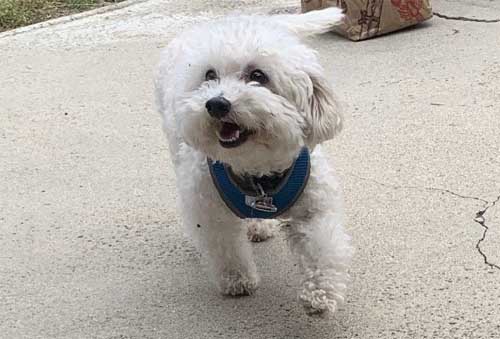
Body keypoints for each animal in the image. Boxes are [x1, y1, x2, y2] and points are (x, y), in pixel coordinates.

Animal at [154, 7, 354, 316]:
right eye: (209, 74)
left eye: (258, 75)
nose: (216, 104)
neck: (257, 170)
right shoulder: (209, 211)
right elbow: (225, 247)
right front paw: (236, 280)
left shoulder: (315, 205)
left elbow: (323, 246)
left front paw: (321, 293)